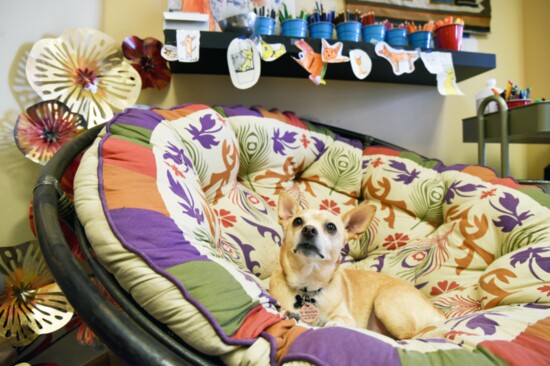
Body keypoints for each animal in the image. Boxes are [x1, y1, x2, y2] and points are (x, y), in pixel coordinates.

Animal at [270, 193, 446, 338]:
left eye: (331, 227)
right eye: (297, 221)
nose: (309, 229)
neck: (308, 284)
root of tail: (439, 314)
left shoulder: (346, 317)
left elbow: (334, 322)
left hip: (385, 302)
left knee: (409, 336)